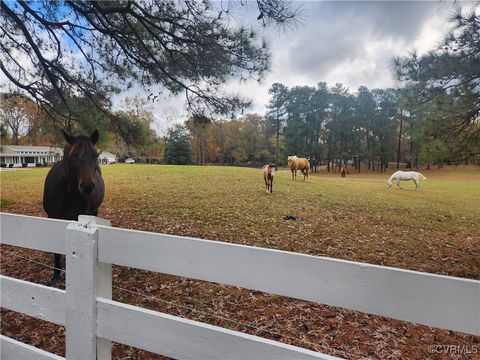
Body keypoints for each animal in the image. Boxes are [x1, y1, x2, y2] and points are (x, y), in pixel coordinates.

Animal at [43, 129, 105, 282]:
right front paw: (56, 275)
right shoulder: (53, 217)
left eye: (95, 155)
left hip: (94, 211)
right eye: (73, 155)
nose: (87, 186)